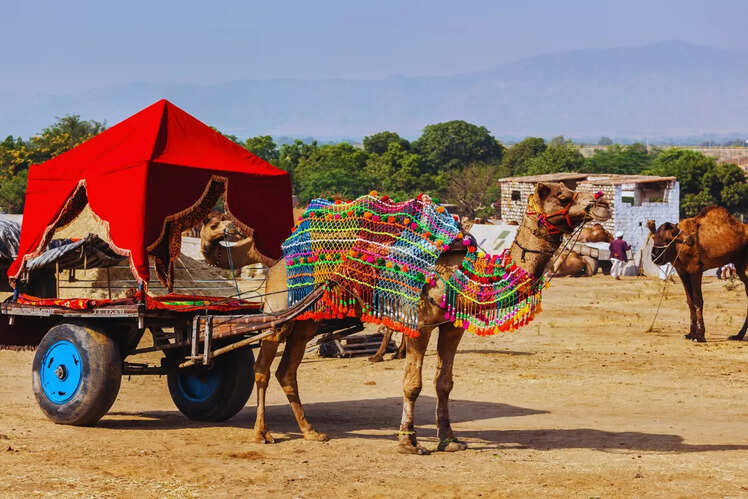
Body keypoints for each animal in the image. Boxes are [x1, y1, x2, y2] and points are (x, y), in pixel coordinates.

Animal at [252, 182, 610, 454]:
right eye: (562, 196)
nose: (603, 204)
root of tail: (277, 262)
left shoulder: (451, 326)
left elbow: (444, 383)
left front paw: (449, 439)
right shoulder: (419, 323)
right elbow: (413, 384)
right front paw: (409, 442)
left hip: (308, 318)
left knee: (287, 371)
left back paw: (311, 432)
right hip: (279, 310)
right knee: (262, 367)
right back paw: (262, 433)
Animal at [648, 206, 748, 342]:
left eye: (667, 240)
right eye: (654, 238)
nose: (654, 257)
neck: (681, 245)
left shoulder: (695, 270)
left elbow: (698, 301)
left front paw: (700, 336)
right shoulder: (683, 272)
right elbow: (690, 301)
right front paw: (691, 334)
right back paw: (738, 335)